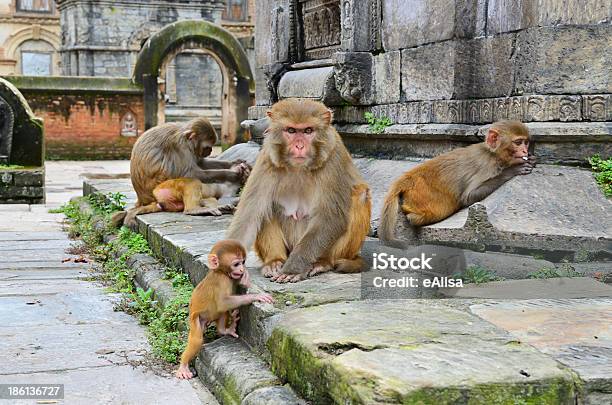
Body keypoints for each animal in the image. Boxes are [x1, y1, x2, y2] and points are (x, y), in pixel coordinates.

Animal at [113, 118, 250, 227]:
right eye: (207, 146)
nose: (210, 151)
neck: (185, 136)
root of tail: (143, 200)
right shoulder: (181, 147)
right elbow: (191, 173)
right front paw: (233, 174)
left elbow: (201, 163)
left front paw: (234, 163)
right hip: (162, 189)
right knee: (191, 181)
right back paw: (195, 210)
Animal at [176, 238, 274, 378]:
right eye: (236, 264)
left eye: (243, 262)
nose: (242, 269)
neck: (221, 272)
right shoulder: (221, 281)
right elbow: (223, 303)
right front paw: (256, 296)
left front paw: (246, 281)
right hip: (195, 320)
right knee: (197, 339)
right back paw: (183, 366)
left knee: (221, 313)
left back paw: (225, 330)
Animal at [225, 97, 368, 282]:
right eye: (291, 130)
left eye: (308, 130)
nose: (299, 146)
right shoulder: (267, 158)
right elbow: (249, 215)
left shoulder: (334, 158)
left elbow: (330, 217)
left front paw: (293, 270)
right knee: (264, 207)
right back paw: (274, 261)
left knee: (360, 195)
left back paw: (323, 262)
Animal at [378, 118, 536, 241]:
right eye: (518, 142)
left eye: (526, 142)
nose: (525, 151)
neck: (493, 154)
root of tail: (408, 177)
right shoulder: (488, 166)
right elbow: (467, 197)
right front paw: (514, 169)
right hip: (422, 193)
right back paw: (414, 217)